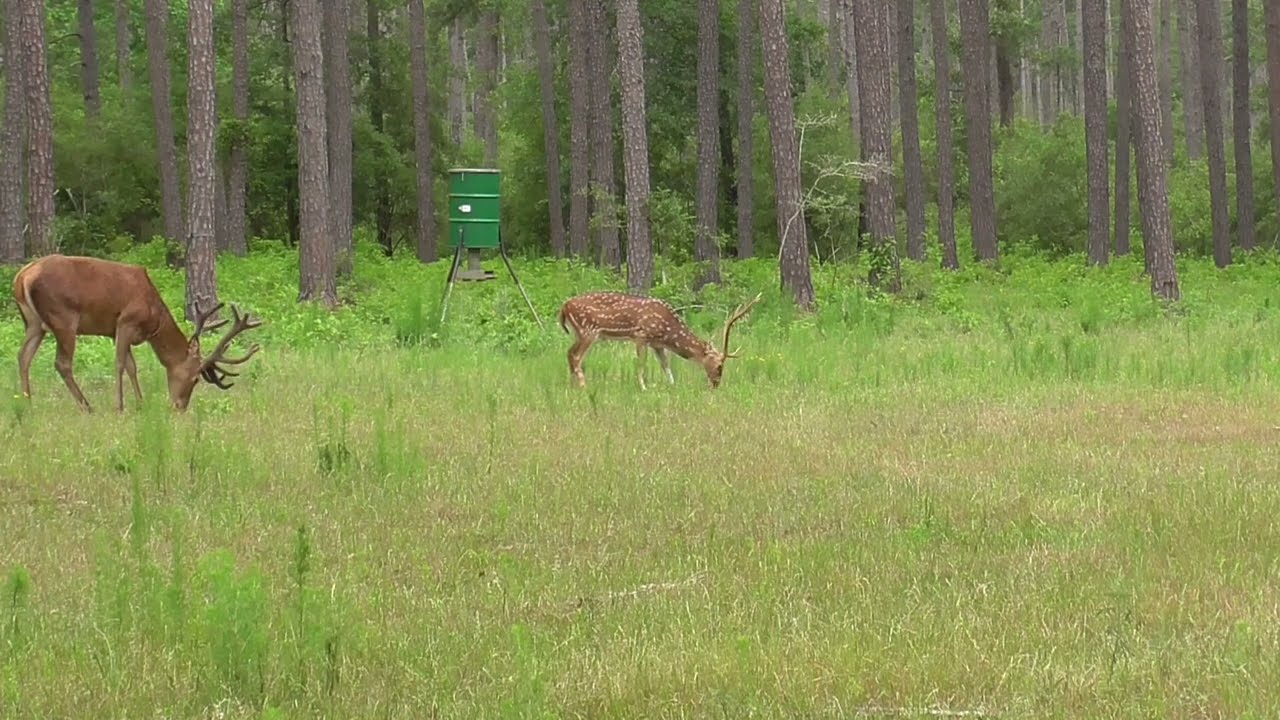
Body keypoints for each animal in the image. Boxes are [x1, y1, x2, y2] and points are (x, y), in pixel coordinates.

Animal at [12, 254, 263, 413]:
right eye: (195, 379)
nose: (179, 407)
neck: (154, 317)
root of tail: (23, 276)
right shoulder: (125, 322)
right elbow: (120, 364)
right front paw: (120, 406)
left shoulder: (118, 332)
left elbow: (132, 367)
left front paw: (141, 403)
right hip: (63, 318)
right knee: (62, 363)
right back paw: (87, 406)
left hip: (33, 323)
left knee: (23, 356)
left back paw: (26, 402)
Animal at [558, 291, 762, 389]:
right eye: (719, 365)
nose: (716, 384)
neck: (668, 331)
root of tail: (564, 306)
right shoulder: (641, 335)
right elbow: (641, 364)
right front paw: (643, 388)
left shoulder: (657, 344)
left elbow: (665, 365)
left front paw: (673, 385)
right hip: (588, 331)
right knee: (576, 357)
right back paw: (583, 387)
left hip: (579, 333)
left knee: (568, 353)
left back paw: (572, 385)